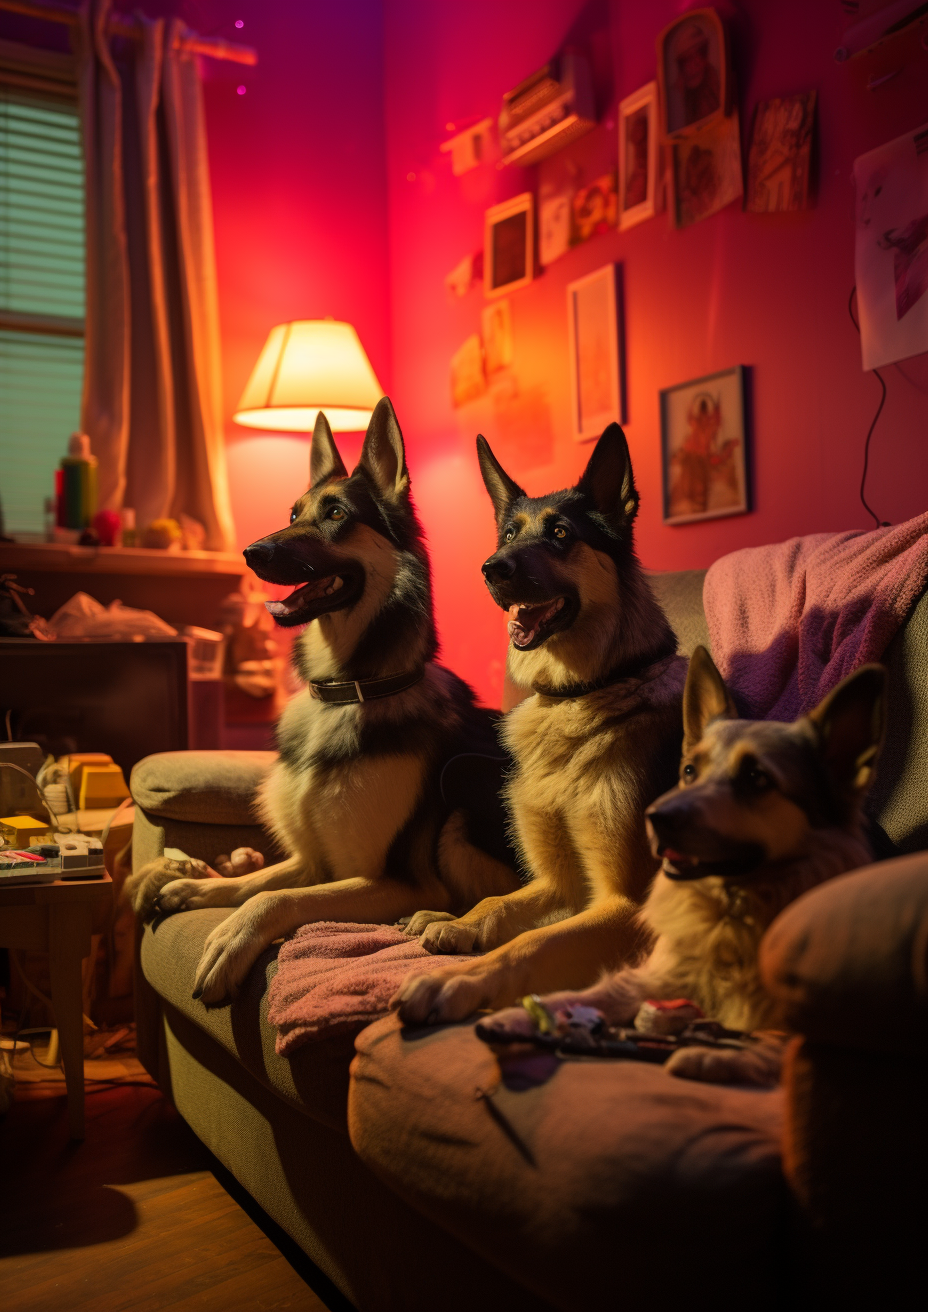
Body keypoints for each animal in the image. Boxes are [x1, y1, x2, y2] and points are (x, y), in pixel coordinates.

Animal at [128, 398, 522, 1002]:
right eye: (293, 514)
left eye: (336, 514)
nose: (250, 552)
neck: (344, 692)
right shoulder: (312, 860)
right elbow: (258, 880)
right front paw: (200, 888)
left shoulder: (393, 881)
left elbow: (275, 897)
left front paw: (229, 938)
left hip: (462, 802)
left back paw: (442, 922)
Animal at [475, 645, 887, 1086]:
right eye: (689, 771)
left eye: (757, 779)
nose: (655, 818)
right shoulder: (641, 969)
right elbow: (566, 985)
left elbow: (780, 1043)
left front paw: (712, 1058)